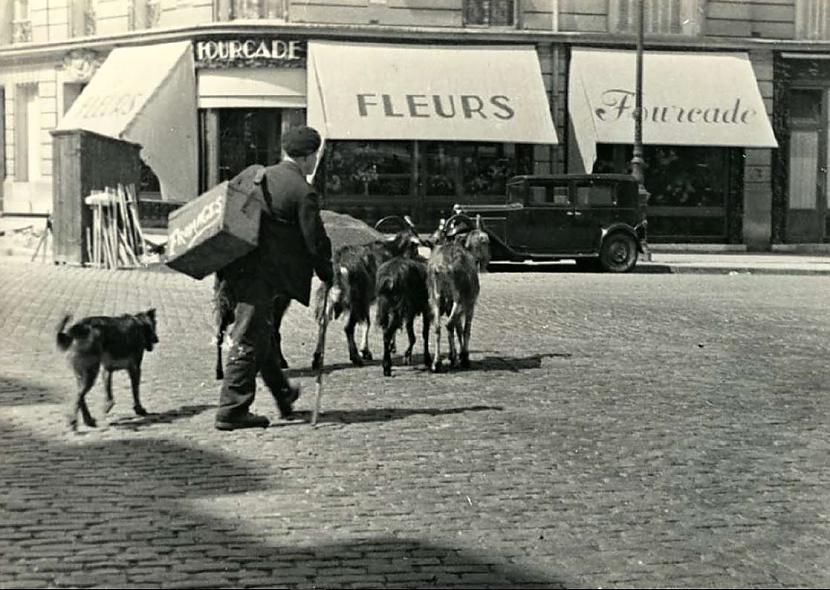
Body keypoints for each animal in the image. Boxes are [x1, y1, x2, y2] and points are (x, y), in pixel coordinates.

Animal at [310, 230, 420, 370]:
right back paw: (355, 358)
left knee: (323, 323)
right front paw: (370, 350)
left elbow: (366, 322)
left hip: (328, 298)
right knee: (348, 327)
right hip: (355, 299)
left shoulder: (366, 301)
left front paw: (369, 350)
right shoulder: (377, 297)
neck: (393, 249)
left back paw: (317, 359)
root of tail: (339, 267)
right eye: (415, 248)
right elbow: (374, 321)